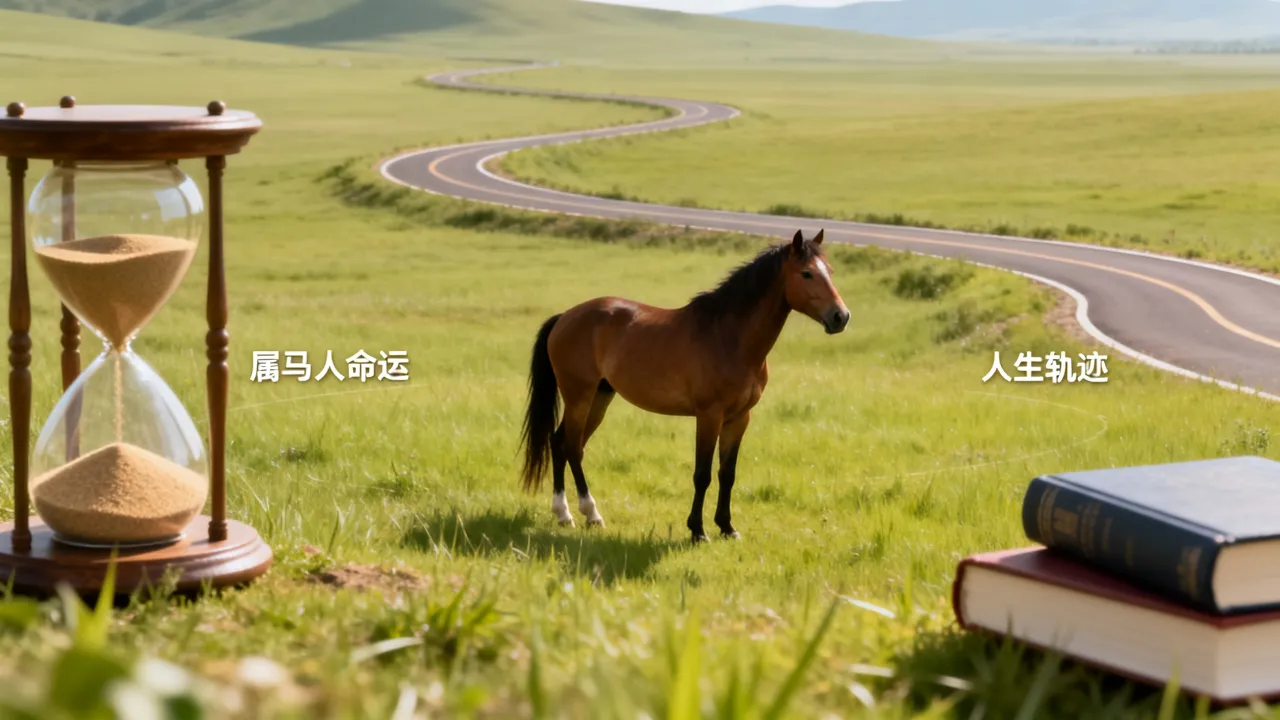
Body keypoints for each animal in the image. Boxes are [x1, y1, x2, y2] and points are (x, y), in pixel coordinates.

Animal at [518, 229, 850, 543]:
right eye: (806, 273)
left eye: (830, 271)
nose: (841, 316)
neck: (729, 338)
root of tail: (565, 317)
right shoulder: (709, 416)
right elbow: (702, 474)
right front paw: (697, 530)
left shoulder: (739, 418)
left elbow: (727, 473)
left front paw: (727, 527)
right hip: (579, 396)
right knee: (571, 447)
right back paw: (590, 513)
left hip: (600, 397)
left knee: (560, 443)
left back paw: (564, 514)